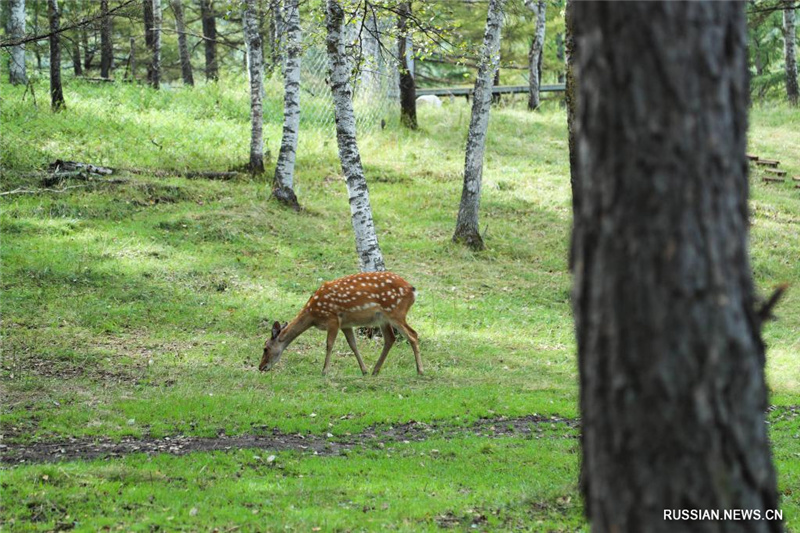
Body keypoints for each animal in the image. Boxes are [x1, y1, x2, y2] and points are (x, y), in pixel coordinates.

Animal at [260, 272, 422, 376]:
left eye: (265, 348)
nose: (261, 367)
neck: (313, 315)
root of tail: (413, 290)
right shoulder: (346, 324)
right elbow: (353, 345)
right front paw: (364, 370)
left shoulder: (333, 319)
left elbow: (329, 344)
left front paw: (324, 371)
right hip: (383, 318)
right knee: (390, 338)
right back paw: (375, 370)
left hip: (395, 312)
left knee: (413, 334)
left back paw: (420, 370)